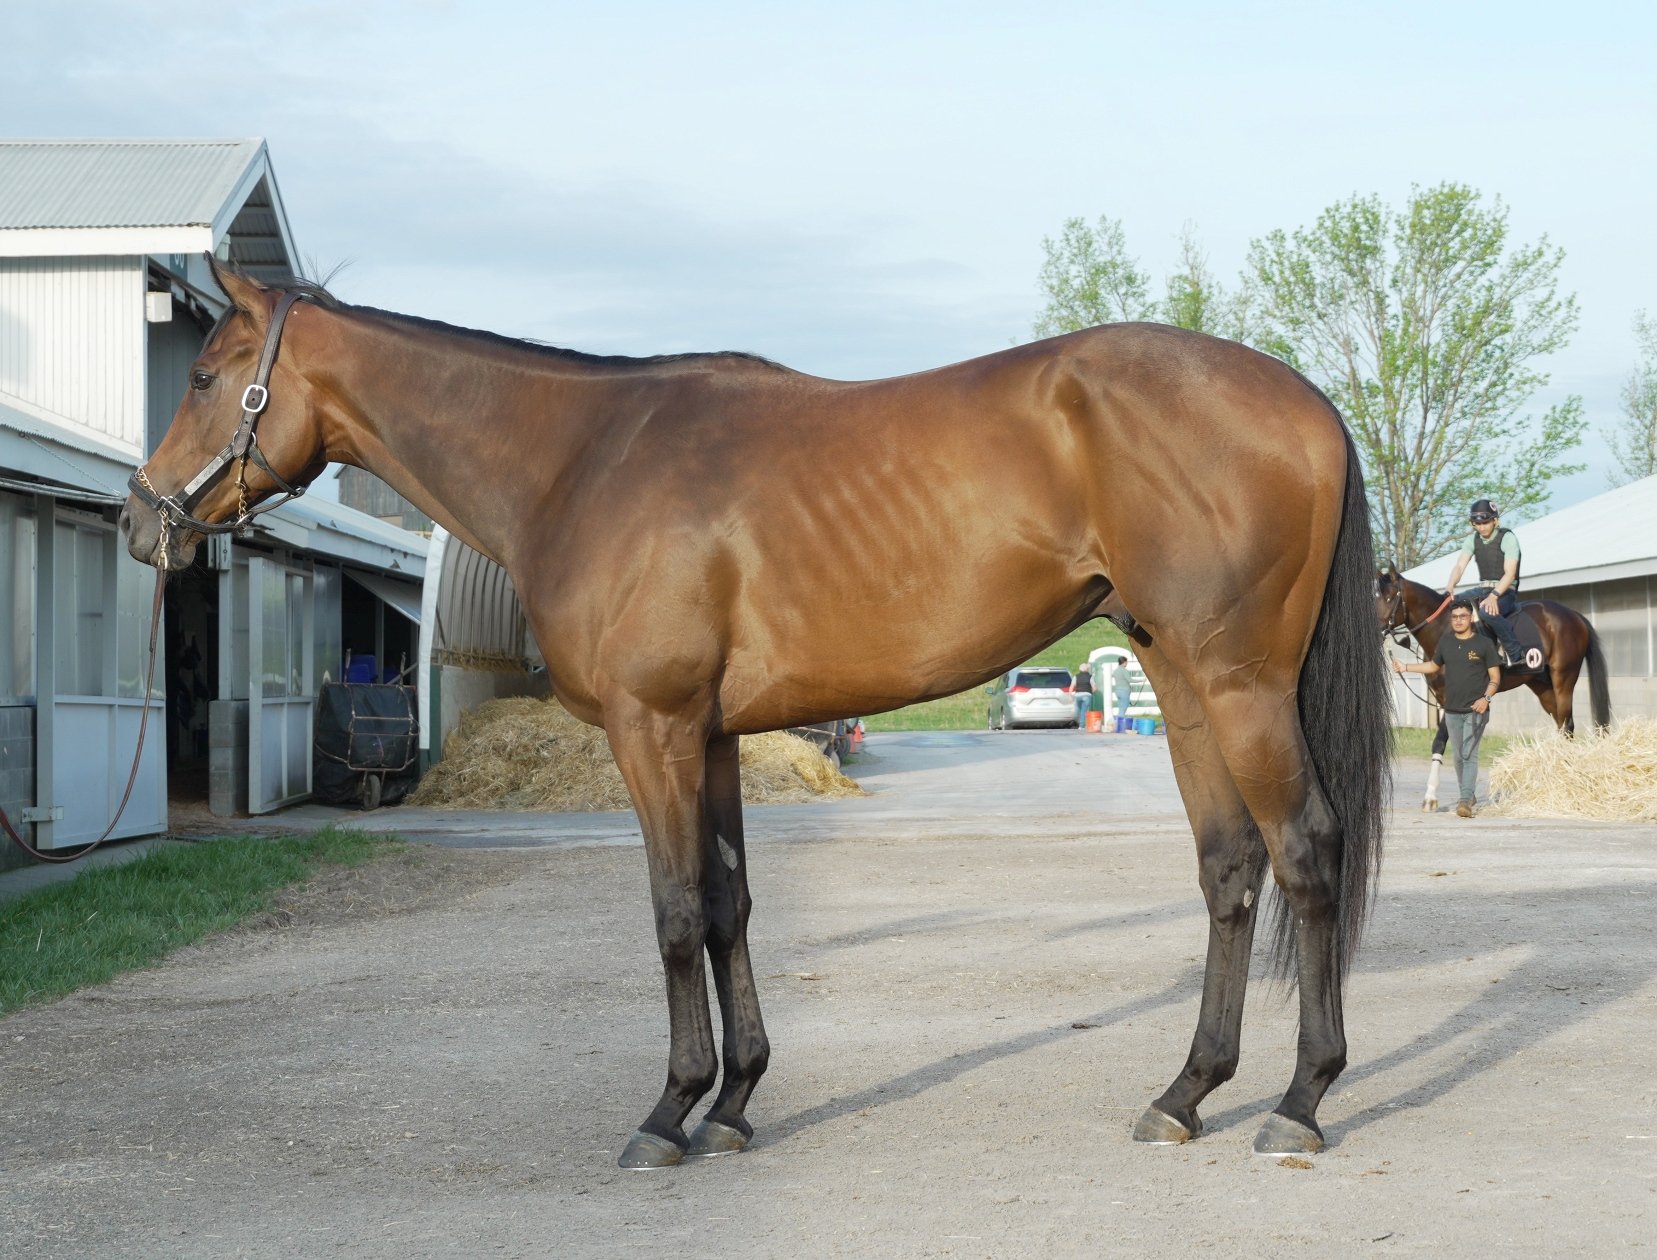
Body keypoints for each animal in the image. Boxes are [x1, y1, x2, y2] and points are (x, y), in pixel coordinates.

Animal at [121, 258, 1391, 1167]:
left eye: (203, 375)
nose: (142, 523)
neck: (578, 461)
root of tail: (1304, 401)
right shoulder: (713, 735)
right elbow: (730, 902)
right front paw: (733, 1104)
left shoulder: (653, 729)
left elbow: (676, 910)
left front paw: (668, 1111)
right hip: (1182, 681)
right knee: (1230, 867)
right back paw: (1184, 1095)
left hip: (1238, 685)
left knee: (1305, 852)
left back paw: (1299, 1102)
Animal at [1375, 567, 1611, 808]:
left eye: (1389, 597)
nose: (1375, 629)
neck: (1445, 631)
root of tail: (1574, 615)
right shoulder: (1445, 699)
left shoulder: (1456, 699)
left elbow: (1442, 741)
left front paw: (1431, 796)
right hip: (1542, 686)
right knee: (1561, 726)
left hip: (1564, 678)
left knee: (1567, 725)